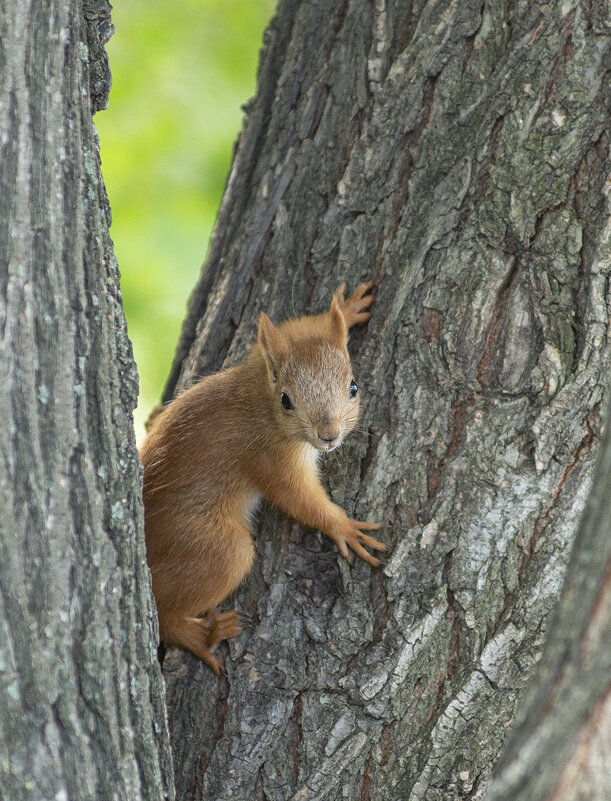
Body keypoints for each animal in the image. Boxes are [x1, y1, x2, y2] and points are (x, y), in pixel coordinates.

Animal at [141, 282, 384, 668]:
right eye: (287, 400)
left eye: (353, 387)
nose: (329, 436)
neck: (261, 399)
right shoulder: (271, 459)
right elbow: (298, 498)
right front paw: (344, 527)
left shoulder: (260, 357)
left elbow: (291, 330)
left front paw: (345, 311)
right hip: (215, 547)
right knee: (168, 615)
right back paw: (202, 638)